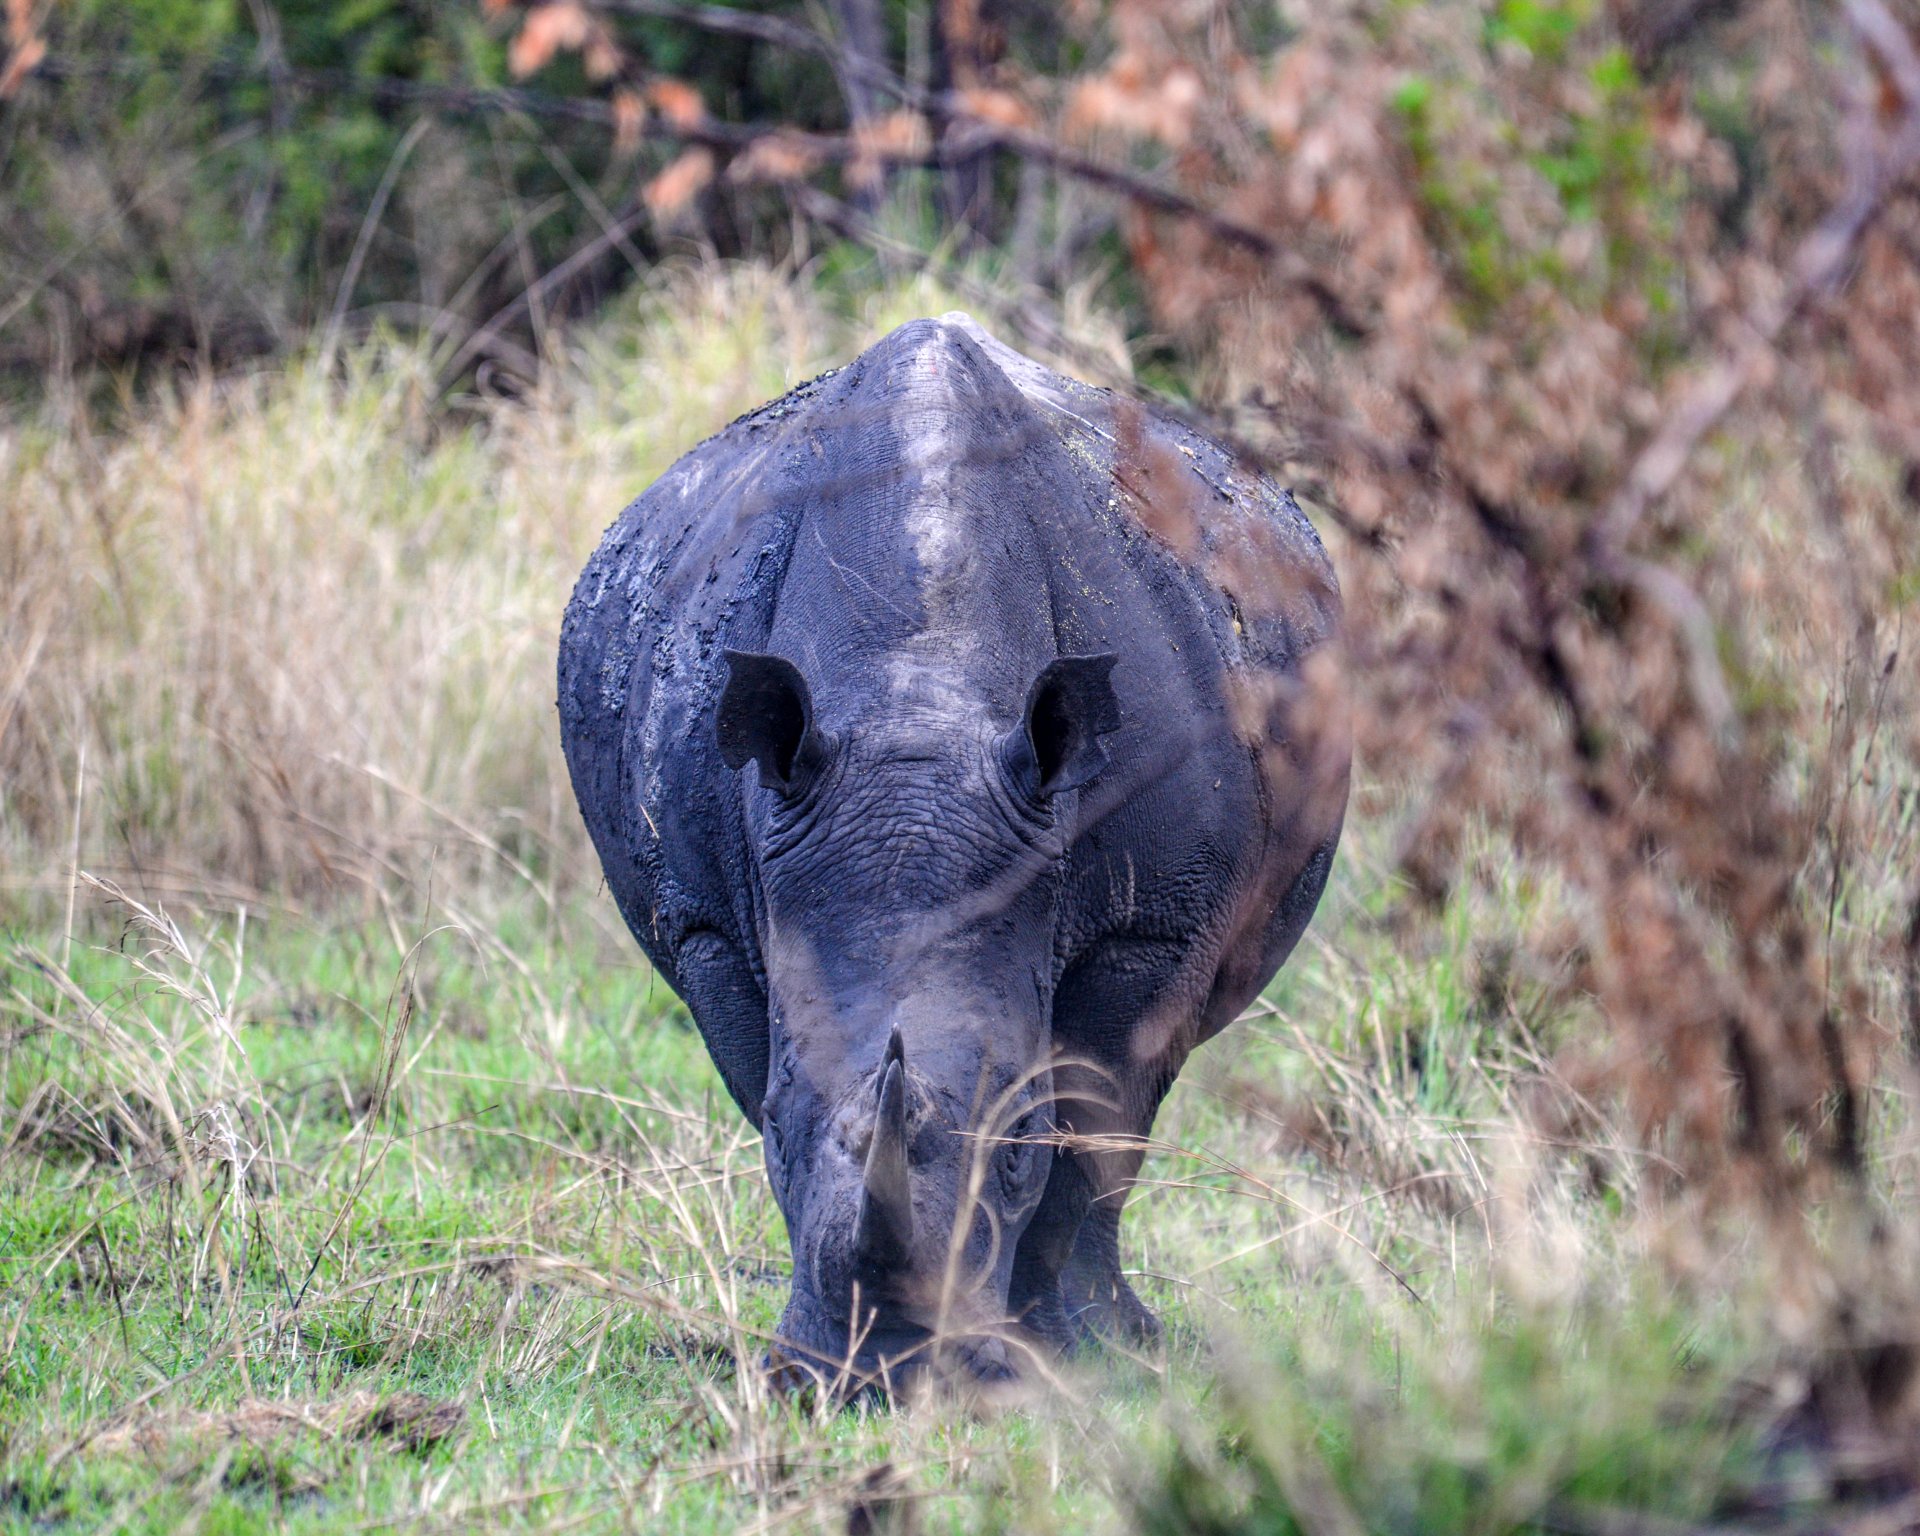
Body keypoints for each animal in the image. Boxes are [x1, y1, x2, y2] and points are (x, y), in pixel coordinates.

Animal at [557, 314, 1348, 1388]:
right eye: (776, 1129)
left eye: (1012, 1145)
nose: (885, 1376)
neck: (918, 693)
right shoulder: (705, 923)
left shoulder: (1155, 926)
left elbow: (1094, 1129)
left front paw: (1077, 1351)